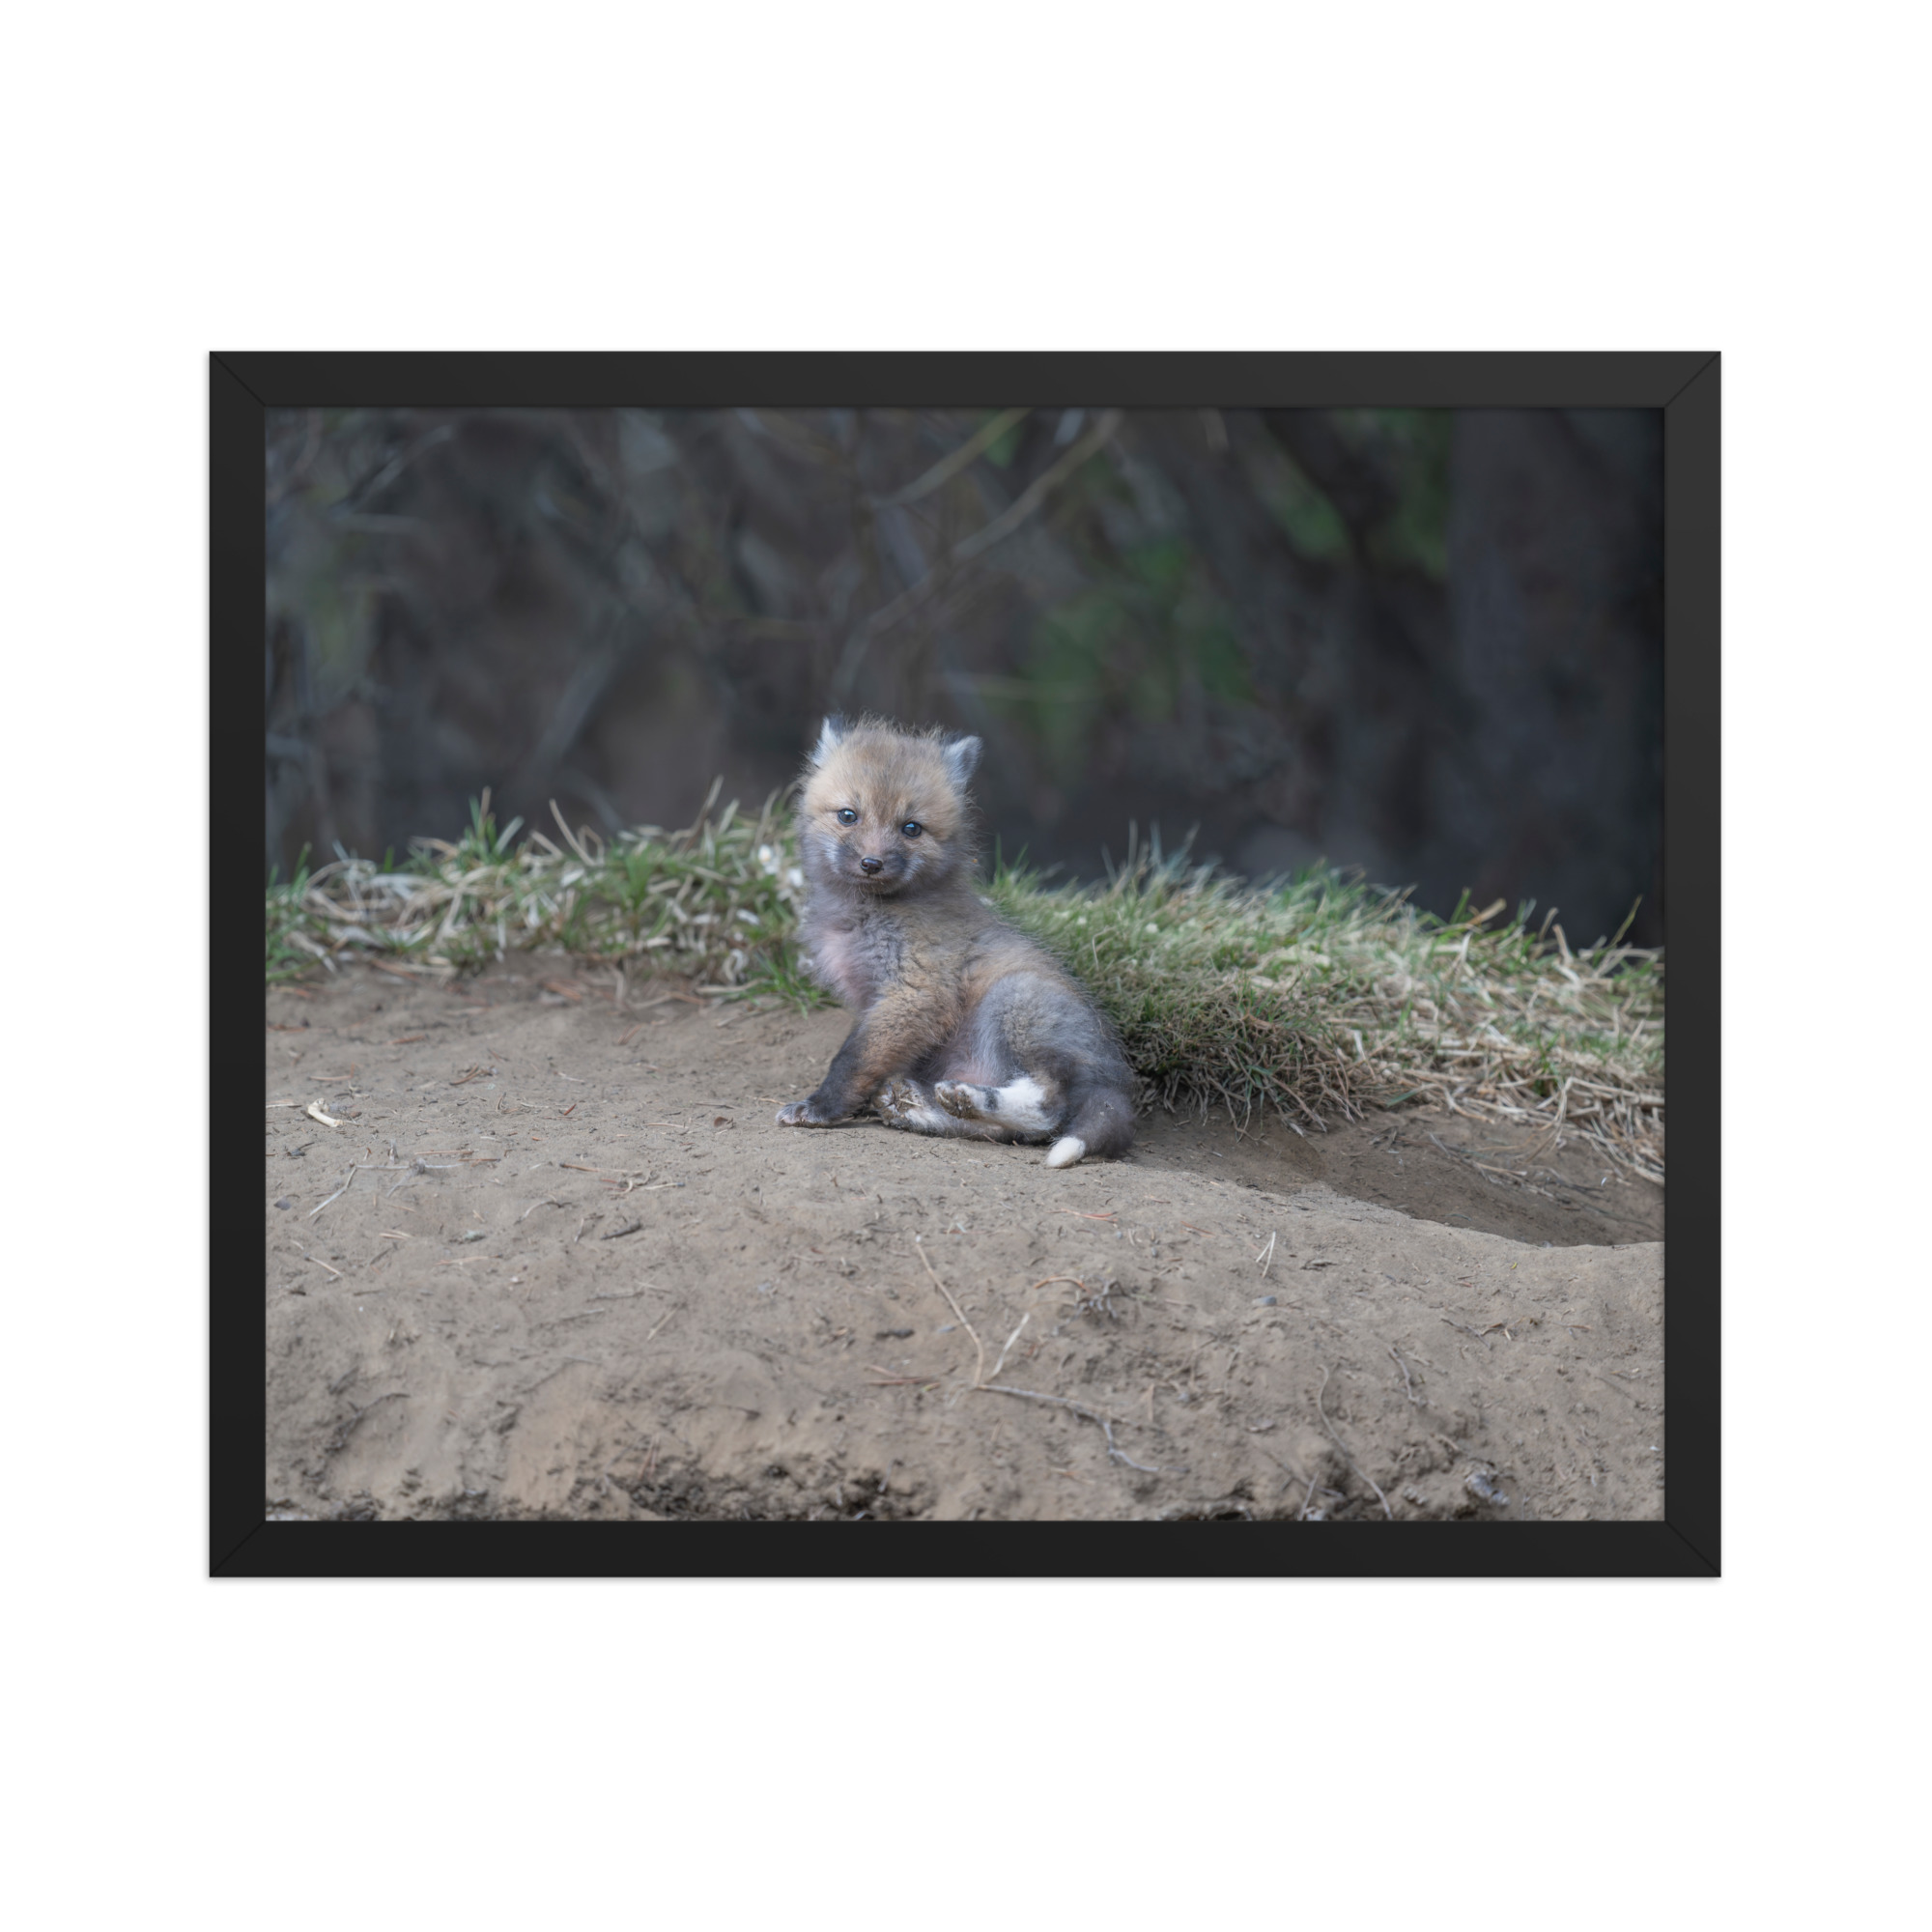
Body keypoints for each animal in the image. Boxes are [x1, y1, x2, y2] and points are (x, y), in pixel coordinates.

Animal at [774, 716, 1136, 1168]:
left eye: (911, 828)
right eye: (848, 816)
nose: (871, 863)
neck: (866, 915)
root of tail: (1115, 1078)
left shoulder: (916, 992)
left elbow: (852, 1059)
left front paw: (820, 1107)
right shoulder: (877, 1001)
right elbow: (868, 1059)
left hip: (1014, 1001)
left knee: (1048, 1108)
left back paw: (967, 1098)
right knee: (1005, 1132)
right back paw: (922, 1107)